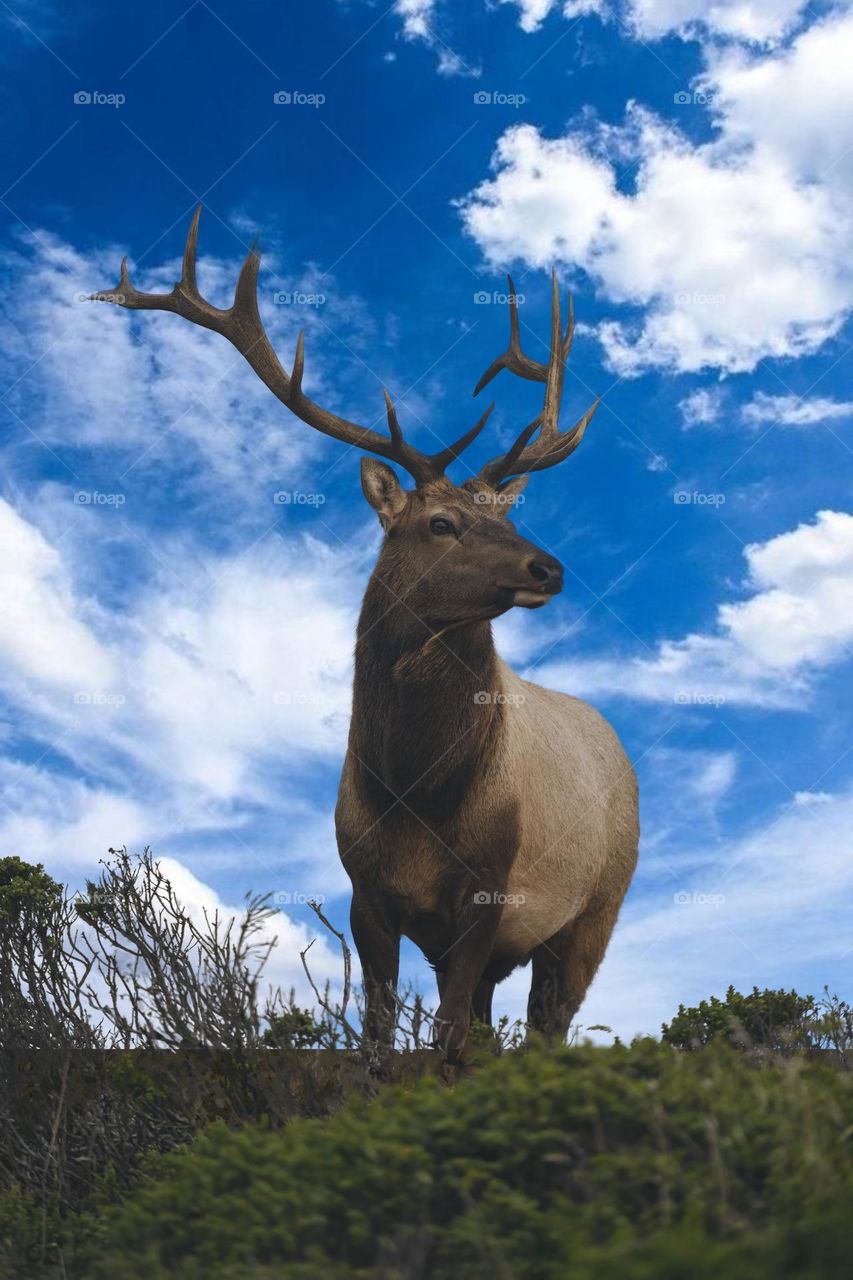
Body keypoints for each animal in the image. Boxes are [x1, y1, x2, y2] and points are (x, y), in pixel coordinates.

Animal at [94, 208, 639, 1058]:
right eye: (440, 522)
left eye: (504, 514)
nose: (548, 567)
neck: (415, 794)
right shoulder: (363, 895)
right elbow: (381, 1041)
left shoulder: (488, 892)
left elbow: (444, 1043)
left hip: (596, 908)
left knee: (545, 1029)